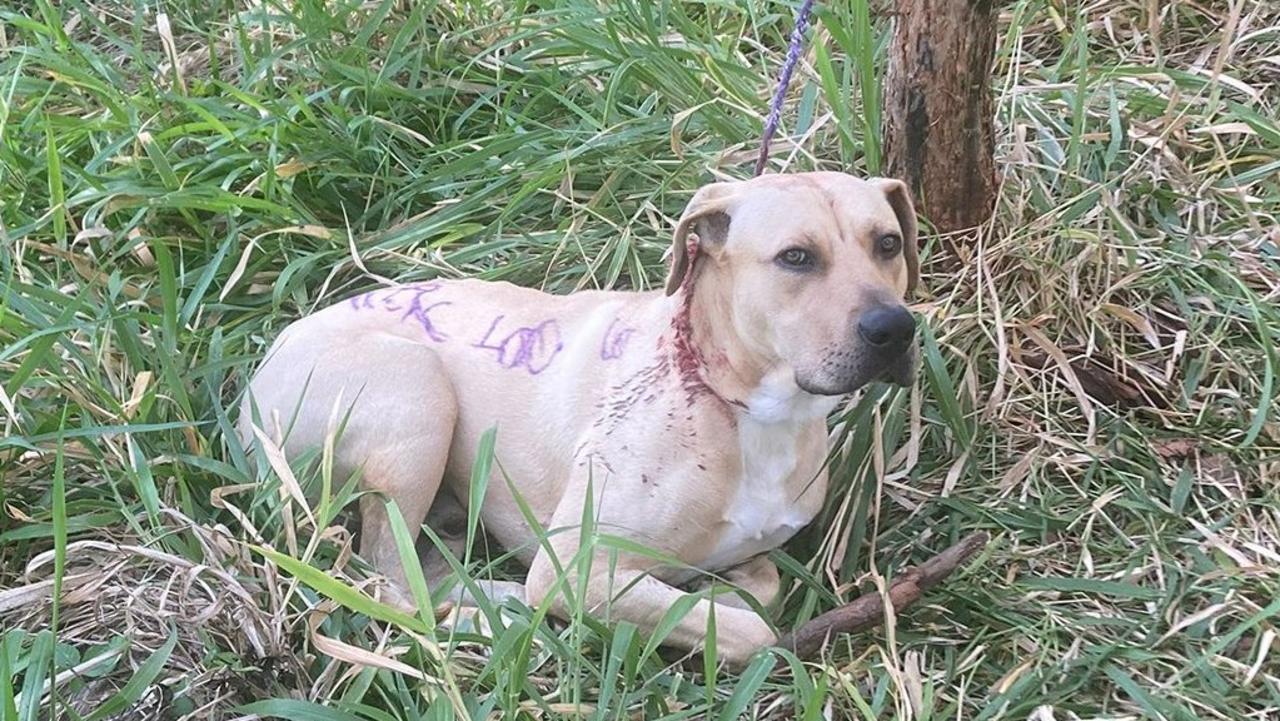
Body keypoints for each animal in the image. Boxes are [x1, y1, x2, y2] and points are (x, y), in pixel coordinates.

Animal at [240, 170, 921, 665]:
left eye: (888, 244)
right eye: (796, 258)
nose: (895, 328)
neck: (732, 401)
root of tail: (264, 361)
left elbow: (761, 584)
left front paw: (722, 587)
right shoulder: (576, 570)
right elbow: (753, 631)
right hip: (419, 390)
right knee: (388, 581)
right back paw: (495, 620)